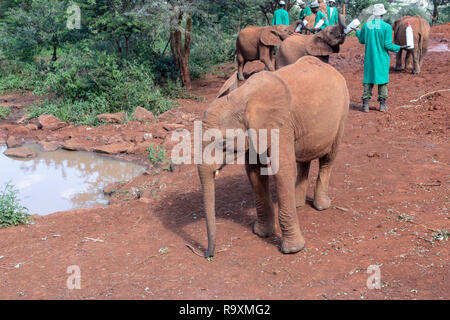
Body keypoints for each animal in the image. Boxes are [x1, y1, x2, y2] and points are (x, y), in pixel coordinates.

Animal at [197, 57, 348, 258]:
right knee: (304, 159)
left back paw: (321, 206)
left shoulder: (282, 126)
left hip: (342, 112)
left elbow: (282, 171)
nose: (208, 254)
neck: (242, 97)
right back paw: (298, 204)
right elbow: (254, 171)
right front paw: (262, 233)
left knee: (328, 158)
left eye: (223, 142)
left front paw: (292, 250)